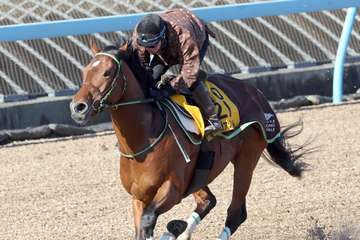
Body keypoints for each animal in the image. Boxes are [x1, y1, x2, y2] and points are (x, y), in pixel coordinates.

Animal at [69, 41, 306, 240]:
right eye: (85, 71)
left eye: (107, 72)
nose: (78, 107)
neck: (143, 142)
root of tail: (255, 92)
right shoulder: (139, 197)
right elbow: (141, 227)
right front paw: (174, 229)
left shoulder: (172, 189)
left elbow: (148, 220)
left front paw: (172, 227)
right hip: (201, 173)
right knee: (208, 200)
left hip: (247, 157)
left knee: (236, 212)